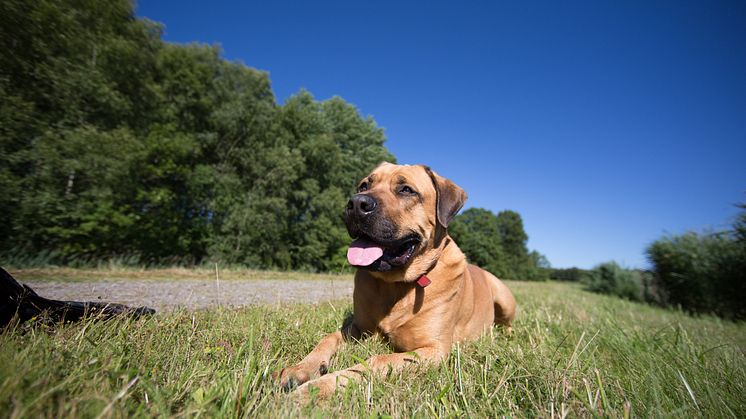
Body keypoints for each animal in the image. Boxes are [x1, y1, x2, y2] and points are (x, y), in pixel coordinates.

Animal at [276, 162, 516, 398]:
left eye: (406, 190)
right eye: (364, 185)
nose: (356, 203)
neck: (395, 285)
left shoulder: (433, 350)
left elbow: (374, 361)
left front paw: (315, 390)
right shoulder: (357, 329)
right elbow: (329, 337)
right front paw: (301, 369)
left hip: (504, 298)